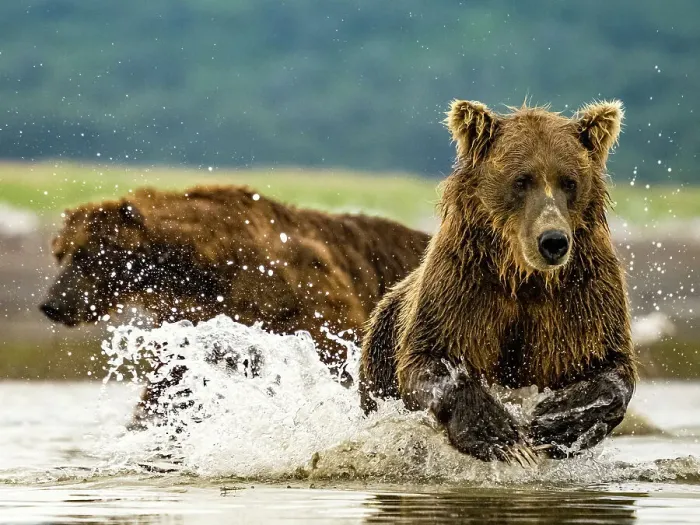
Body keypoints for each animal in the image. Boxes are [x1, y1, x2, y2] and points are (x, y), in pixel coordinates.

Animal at [40, 184, 430, 426]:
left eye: (88, 255)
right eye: (61, 253)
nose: (52, 304)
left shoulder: (308, 302)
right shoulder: (194, 319)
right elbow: (169, 379)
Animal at [359, 99, 636, 464]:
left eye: (569, 181)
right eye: (521, 180)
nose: (553, 241)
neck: (523, 276)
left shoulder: (584, 292)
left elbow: (609, 364)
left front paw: (556, 422)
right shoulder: (463, 285)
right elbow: (429, 358)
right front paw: (499, 434)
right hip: (379, 353)